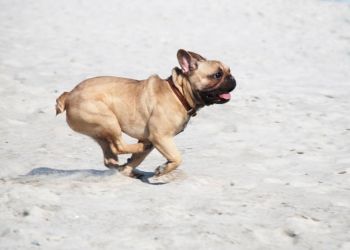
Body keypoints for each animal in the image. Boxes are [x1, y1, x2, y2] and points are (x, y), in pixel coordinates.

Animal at [55, 49, 235, 177]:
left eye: (229, 71)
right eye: (217, 75)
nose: (233, 79)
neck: (179, 94)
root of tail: (69, 95)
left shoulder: (153, 138)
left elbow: (136, 160)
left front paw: (128, 170)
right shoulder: (160, 137)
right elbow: (177, 158)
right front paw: (163, 169)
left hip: (100, 132)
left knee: (110, 156)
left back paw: (125, 167)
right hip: (109, 121)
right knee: (119, 146)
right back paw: (139, 149)